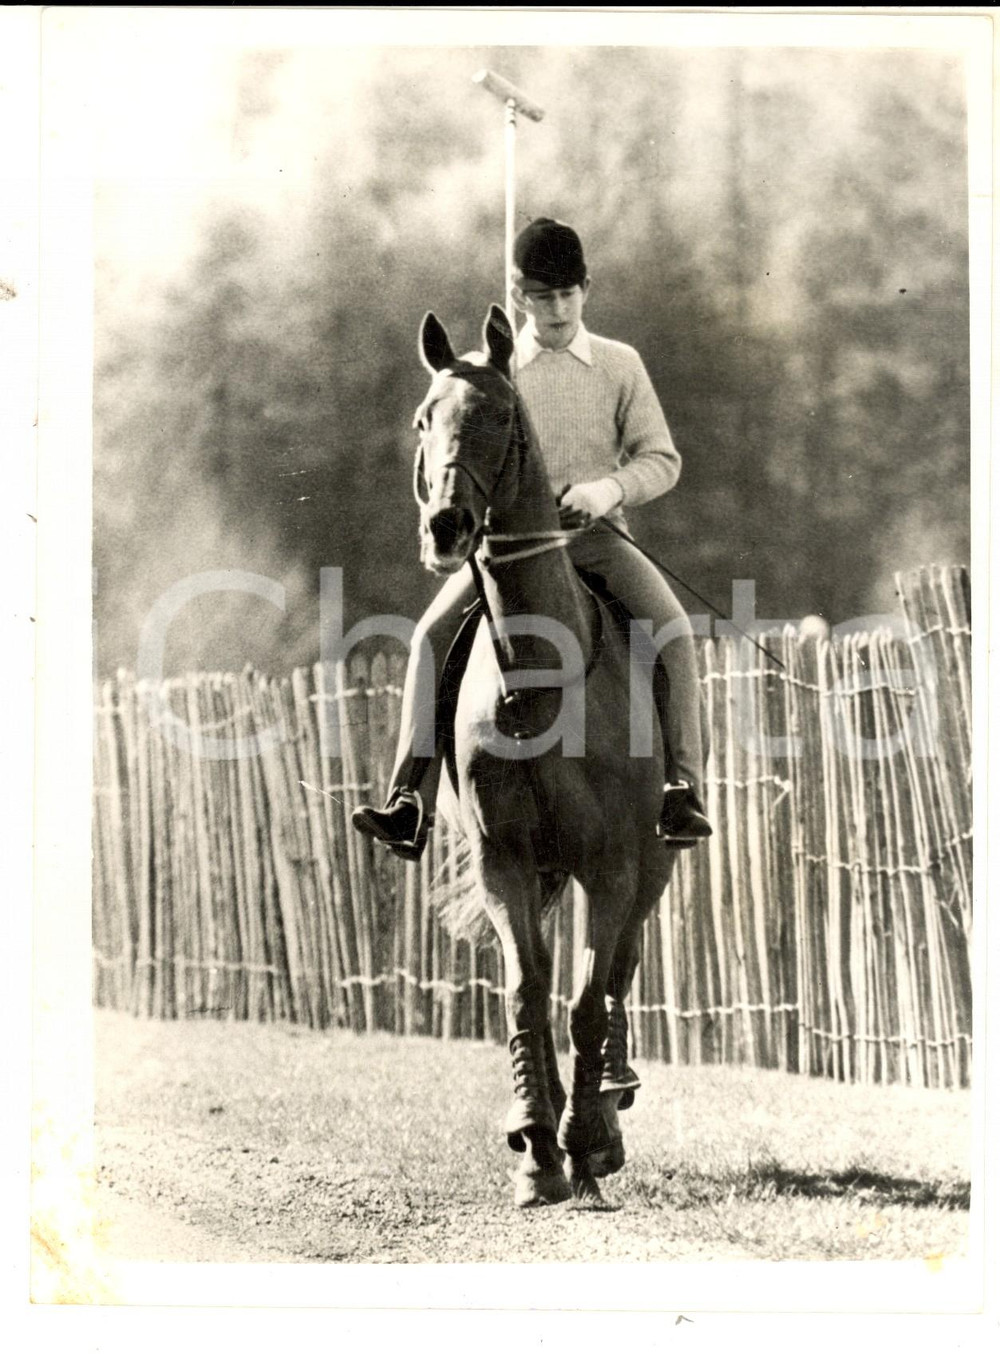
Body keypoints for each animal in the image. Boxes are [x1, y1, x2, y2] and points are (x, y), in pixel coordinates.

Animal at [413, 303, 678, 1208]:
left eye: (500, 416)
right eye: (424, 419)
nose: (445, 528)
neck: (538, 681)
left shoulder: (613, 866)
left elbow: (590, 999)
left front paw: (586, 1143)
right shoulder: (508, 861)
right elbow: (529, 991)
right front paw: (536, 1148)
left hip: (650, 868)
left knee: (622, 972)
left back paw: (610, 1108)